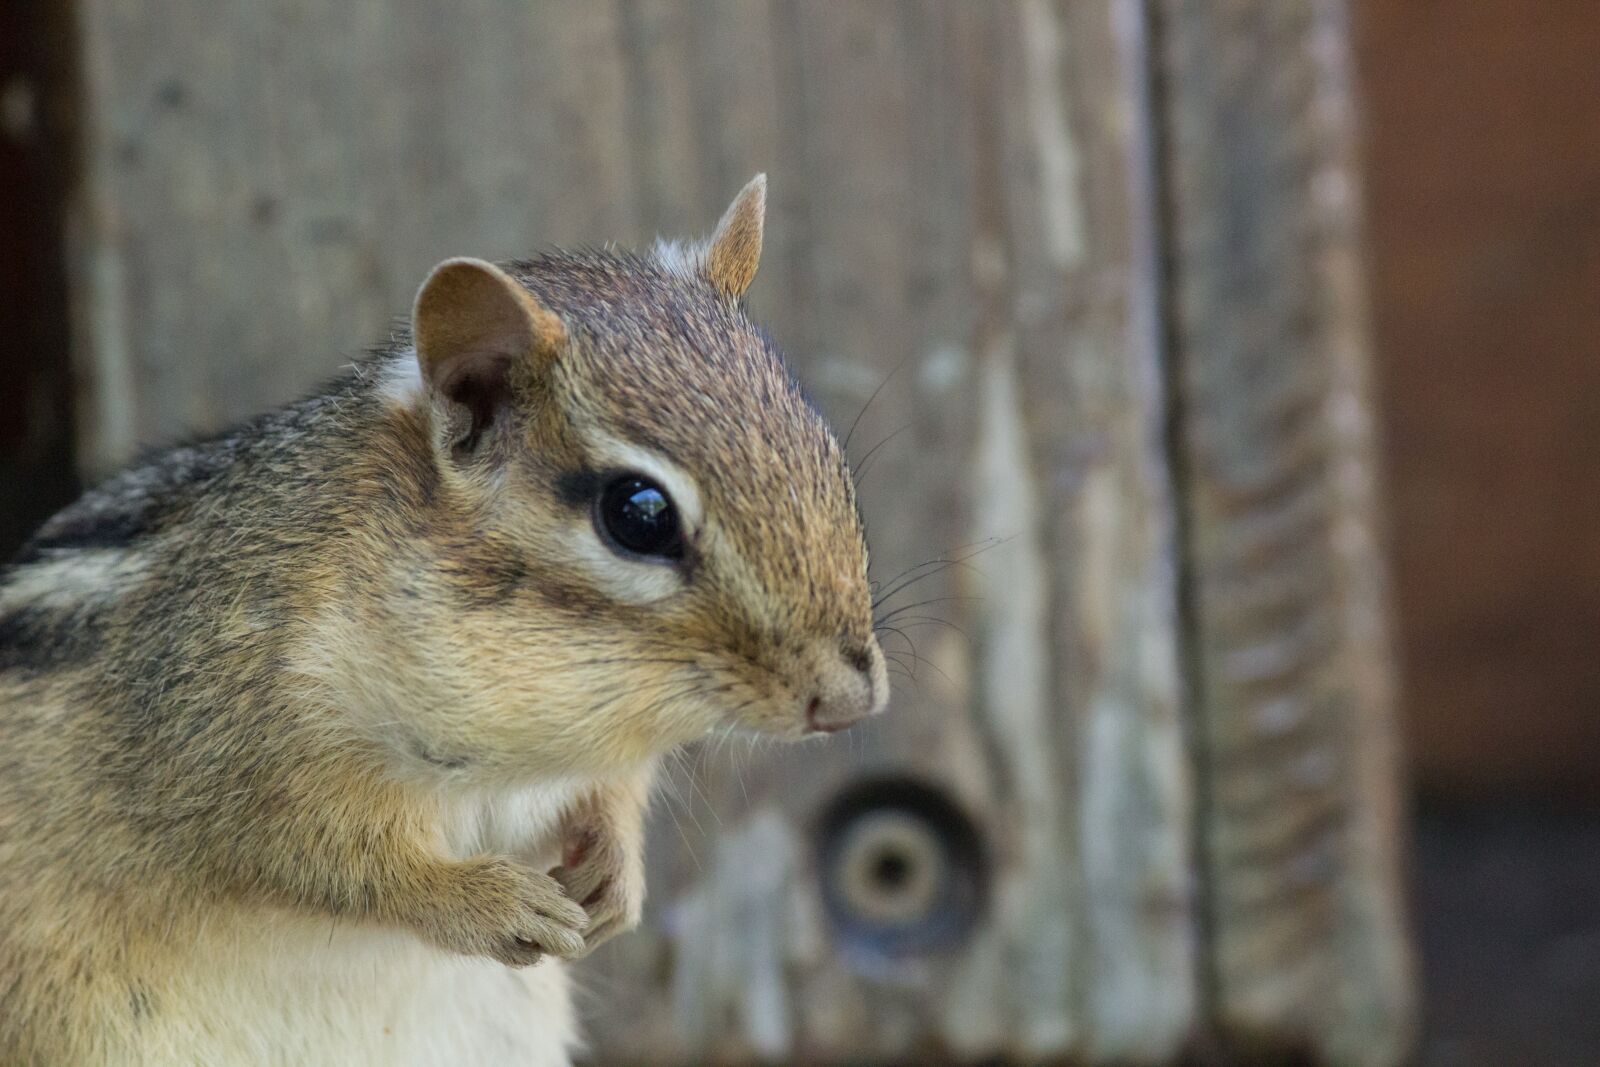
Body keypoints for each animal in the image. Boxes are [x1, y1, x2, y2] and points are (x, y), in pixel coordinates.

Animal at [0, 175, 888, 1066]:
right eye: (638, 514)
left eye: (825, 451)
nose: (851, 700)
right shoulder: (218, 727)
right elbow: (323, 857)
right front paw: (488, 899)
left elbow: (613, 789)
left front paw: (617, 875)